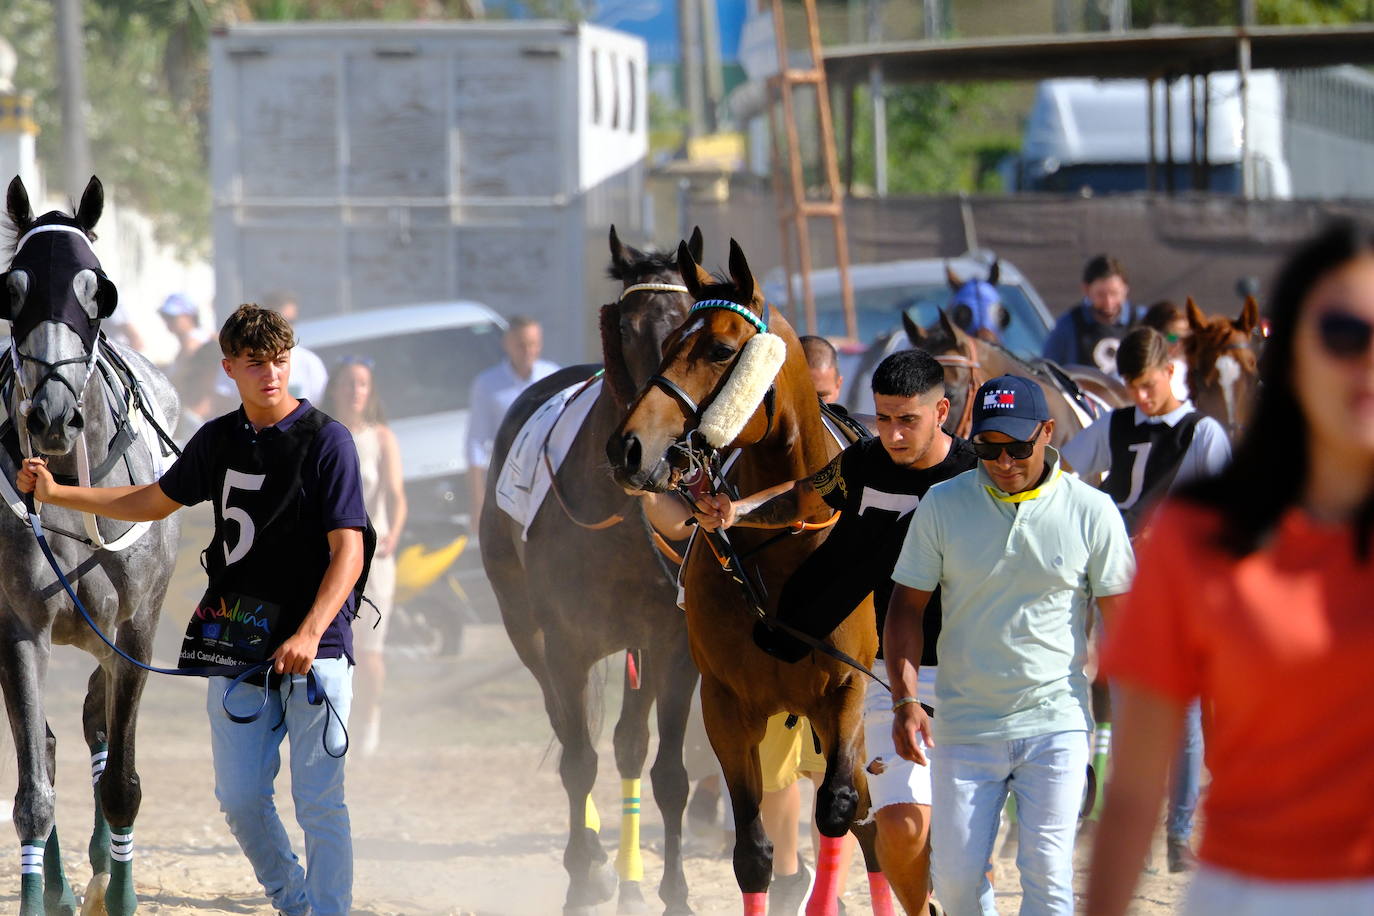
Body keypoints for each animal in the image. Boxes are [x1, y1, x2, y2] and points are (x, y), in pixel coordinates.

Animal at [480, 226, 701, 915]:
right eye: (627, 327)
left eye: (694, 326)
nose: (655, 447)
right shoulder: (566, 644)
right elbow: (577, 759)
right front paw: (582, 877)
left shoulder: (673, 645)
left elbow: (669, 773)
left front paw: (674, 892)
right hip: (524, 627)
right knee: (566, 727)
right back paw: (599, 862)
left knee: (629, 746)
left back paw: (628, 878)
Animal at [606, 239, 880, 916]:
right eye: (671, 339)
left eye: (721, 350)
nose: (629, 447)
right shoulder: (726, 705)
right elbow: (752, 852)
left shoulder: (845, 691)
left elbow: (837, 809)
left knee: (863, 818)